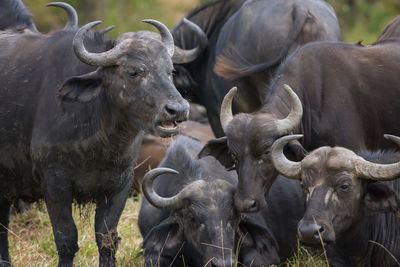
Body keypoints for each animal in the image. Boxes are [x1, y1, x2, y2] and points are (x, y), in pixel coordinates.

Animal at [0, 17, 190, 266]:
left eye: (170, 71)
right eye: (133, 72)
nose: (178, 109)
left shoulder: (120, 185)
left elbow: (107, 239)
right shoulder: (55, 183)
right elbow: (66, 239)